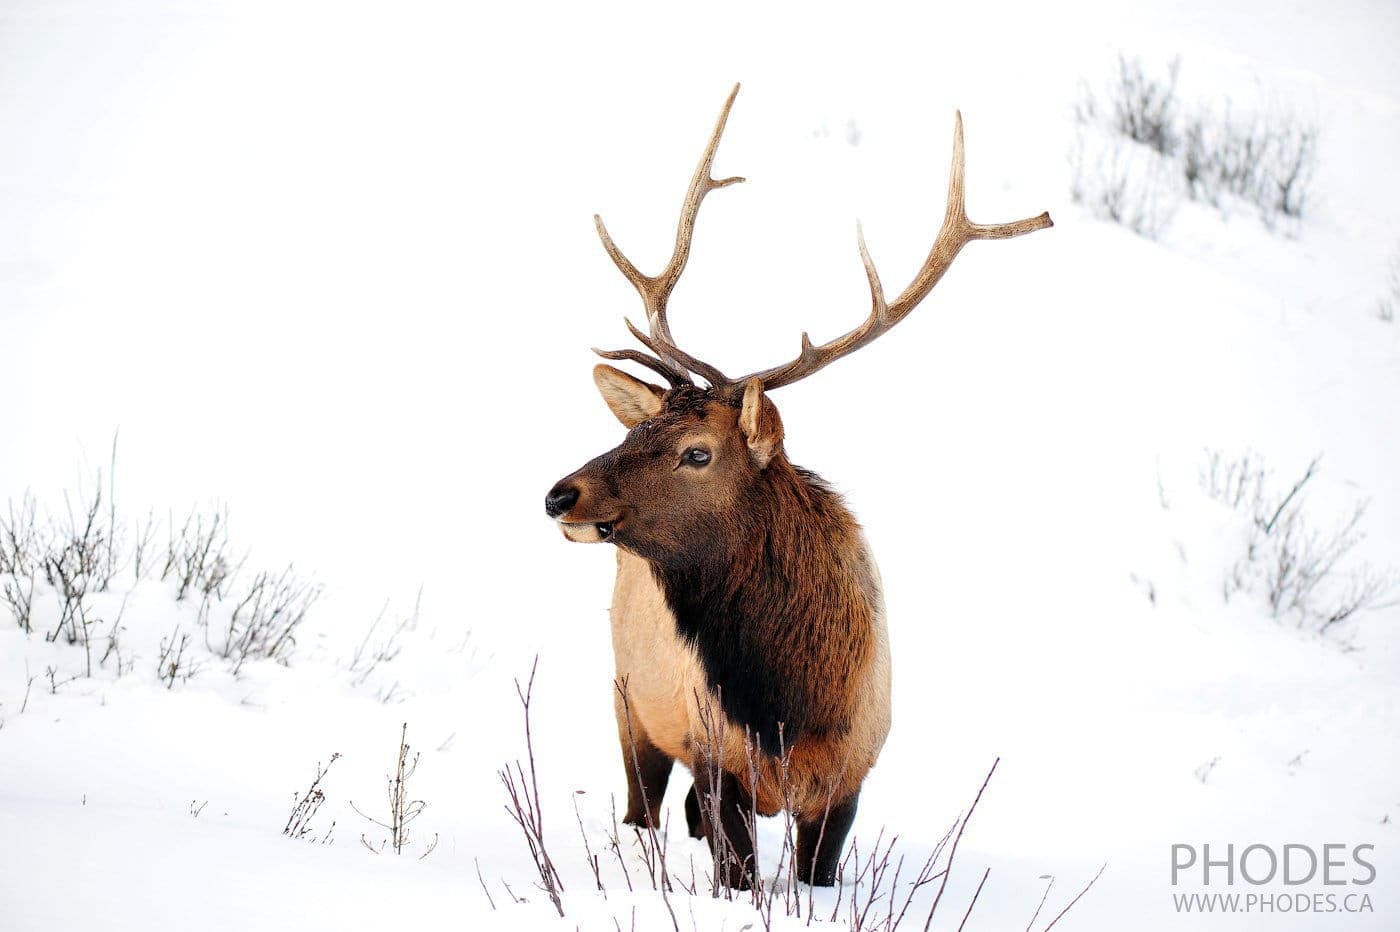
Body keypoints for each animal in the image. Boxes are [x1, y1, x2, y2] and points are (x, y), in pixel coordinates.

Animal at [546, 85, 1052, 884]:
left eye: (696, 453)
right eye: (634, 433)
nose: (561, 494)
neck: (786, 706)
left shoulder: (849, 779)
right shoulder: (715, 757)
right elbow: (737, 874)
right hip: (631, 701)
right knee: (642, 807)